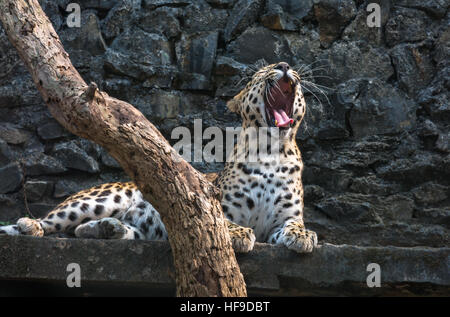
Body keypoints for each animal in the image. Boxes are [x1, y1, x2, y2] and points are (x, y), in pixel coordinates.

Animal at [0, 61, 316, 253]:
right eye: (262, 72)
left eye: (283, 65)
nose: (284, 66)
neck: (271, 152)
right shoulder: (215, 206)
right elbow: (225, 221)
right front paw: (238, 233)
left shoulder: (282, 220)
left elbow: (294, 224)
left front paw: (303, 236)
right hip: (98, 200)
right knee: (51, 222)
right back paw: (29, 225)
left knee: (85, 231)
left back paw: (108, 229)